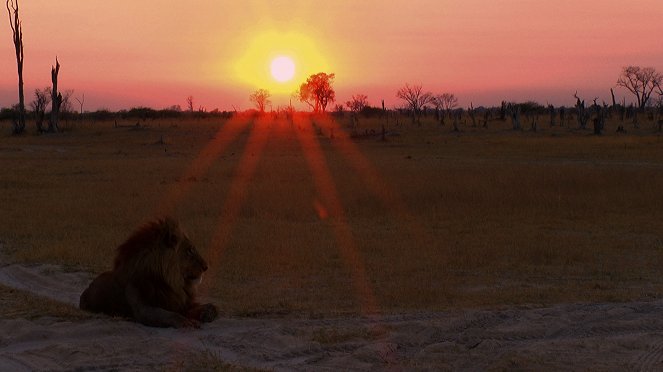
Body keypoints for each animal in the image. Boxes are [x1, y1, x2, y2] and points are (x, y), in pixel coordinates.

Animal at [78, 218, 218, 328]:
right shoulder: (143, 309)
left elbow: (212, 306)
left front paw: (207, 314)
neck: (171, 282)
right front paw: (187, 322)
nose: (206, 267)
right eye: (190, 250)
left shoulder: (181, 303)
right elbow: (169, 315)